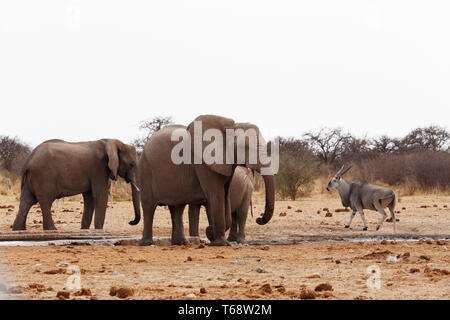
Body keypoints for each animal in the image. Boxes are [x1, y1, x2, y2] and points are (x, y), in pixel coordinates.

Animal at [12, 139, 141, 231]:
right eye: (132, 164)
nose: (130, 222)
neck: (113, 142)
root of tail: (28, 160)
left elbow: (90, 198)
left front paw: (85, 229)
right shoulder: (99, 169)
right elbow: (99, 195)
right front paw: (99, 230)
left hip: (31, 179)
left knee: (27, 201)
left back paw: (18, 230)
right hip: (43, 176)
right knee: (45, 201)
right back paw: (52, 230)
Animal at [137, 114, 274, 246]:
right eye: (243, 147)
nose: (259, 219)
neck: (229, 127)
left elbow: (225, 196)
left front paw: (212, 235)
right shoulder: (203, 163)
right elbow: (215, 196)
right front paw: (220, 243)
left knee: (178, 208)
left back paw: (181, 243)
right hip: (146, 169)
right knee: (149, 205)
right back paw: (146, 243)